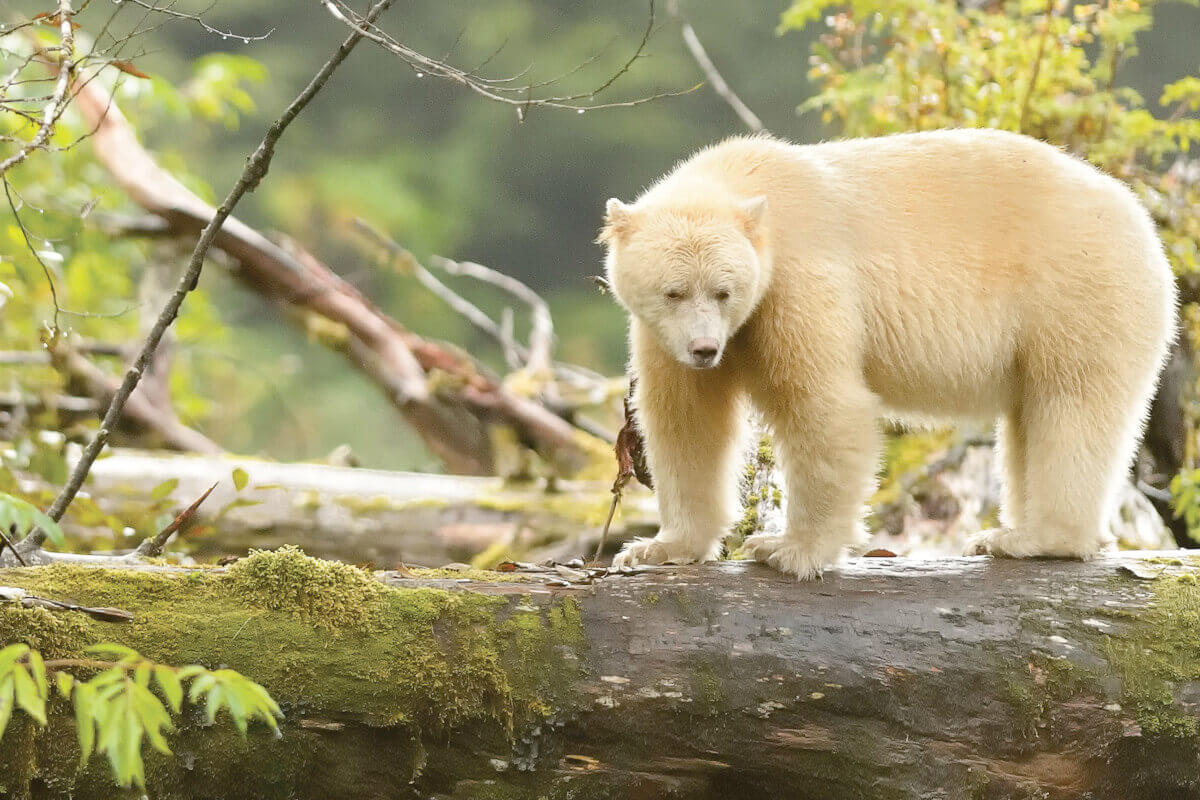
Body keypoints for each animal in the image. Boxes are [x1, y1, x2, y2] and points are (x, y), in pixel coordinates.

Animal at [600, 131, 1171, 582]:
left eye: (723, 291)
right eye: (673, 291)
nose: (704, 349)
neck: (751, 182)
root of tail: (1145, 224)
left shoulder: (799, 280)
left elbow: (824, 405)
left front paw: (787, 549)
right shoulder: (664, 337)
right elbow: (687, 422)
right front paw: (657, 548)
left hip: (1076, 290)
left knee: (1070, 403)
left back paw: (1033, 539)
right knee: (1030, 416)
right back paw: (1008, 533)